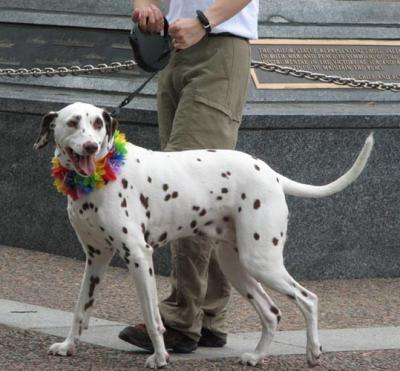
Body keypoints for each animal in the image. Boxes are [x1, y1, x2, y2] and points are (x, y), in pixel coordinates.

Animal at [35, 102, 376, 370]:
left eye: (97, 123)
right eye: (72, 122)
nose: (91, 147)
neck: (100, 177)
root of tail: (271, 174)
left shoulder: (138, 257)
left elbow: (153, 316)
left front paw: (160, 358)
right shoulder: (95, 259)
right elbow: (81, 309)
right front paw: (68, 346)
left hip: (261, 262)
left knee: (308, 299)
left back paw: (313, 352)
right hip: (236, 266)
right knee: (271, 312)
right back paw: (257, 356)